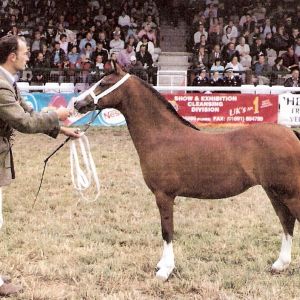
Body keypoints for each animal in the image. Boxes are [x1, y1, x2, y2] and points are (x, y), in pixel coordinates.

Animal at [75, 63, 300, 282]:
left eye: (103, 83)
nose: (77, 103)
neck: (161, 135)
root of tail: (291, 134)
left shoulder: (164, 195)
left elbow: (167, 231)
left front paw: (165, 270)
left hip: (290, 194)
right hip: (274, 193)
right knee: (286, 223)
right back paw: (280, 264)